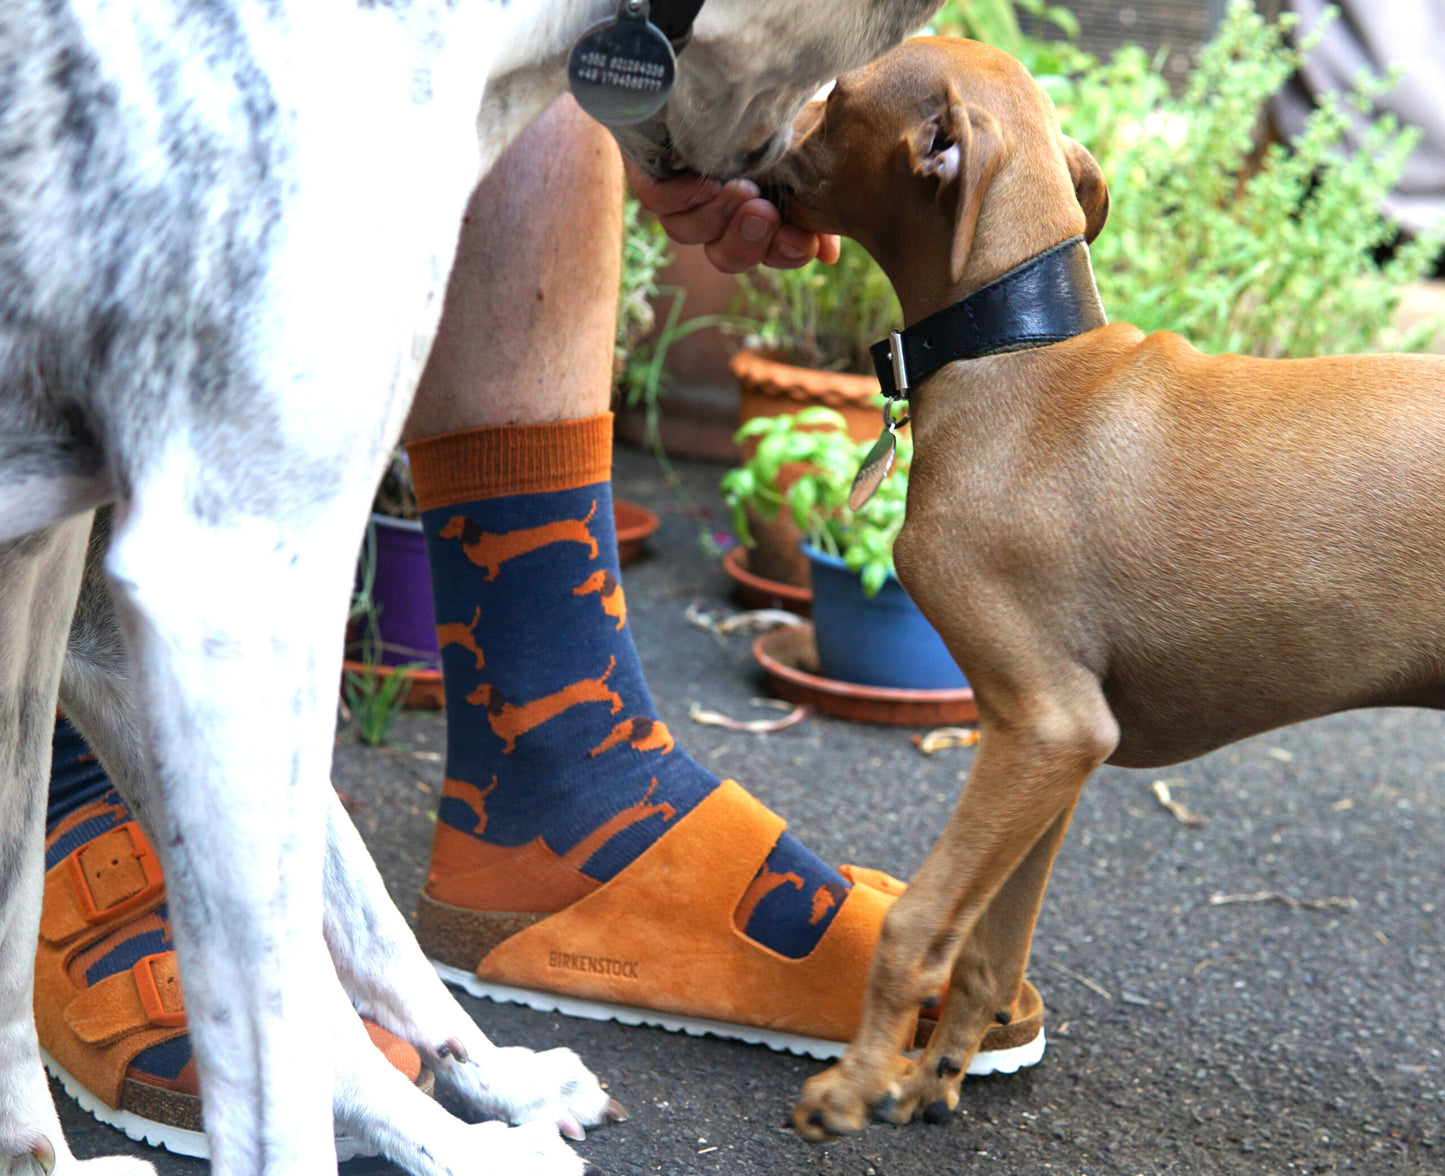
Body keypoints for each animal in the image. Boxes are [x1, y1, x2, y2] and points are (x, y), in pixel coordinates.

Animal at [0, 2, 936, 1176]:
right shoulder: (233, 584)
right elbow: (279, 1028)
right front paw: (455, 1141)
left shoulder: (74, 603)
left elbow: (334, 918)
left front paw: (489, 1082)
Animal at [774, 39, 1445, 1144]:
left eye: (838, 95)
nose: (758, 144)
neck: (1016, 353)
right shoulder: (1046, 746)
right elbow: (988, 946)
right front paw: (929, 1079)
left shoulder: (1046, 724)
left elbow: (918, 920)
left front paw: (854, 1085)